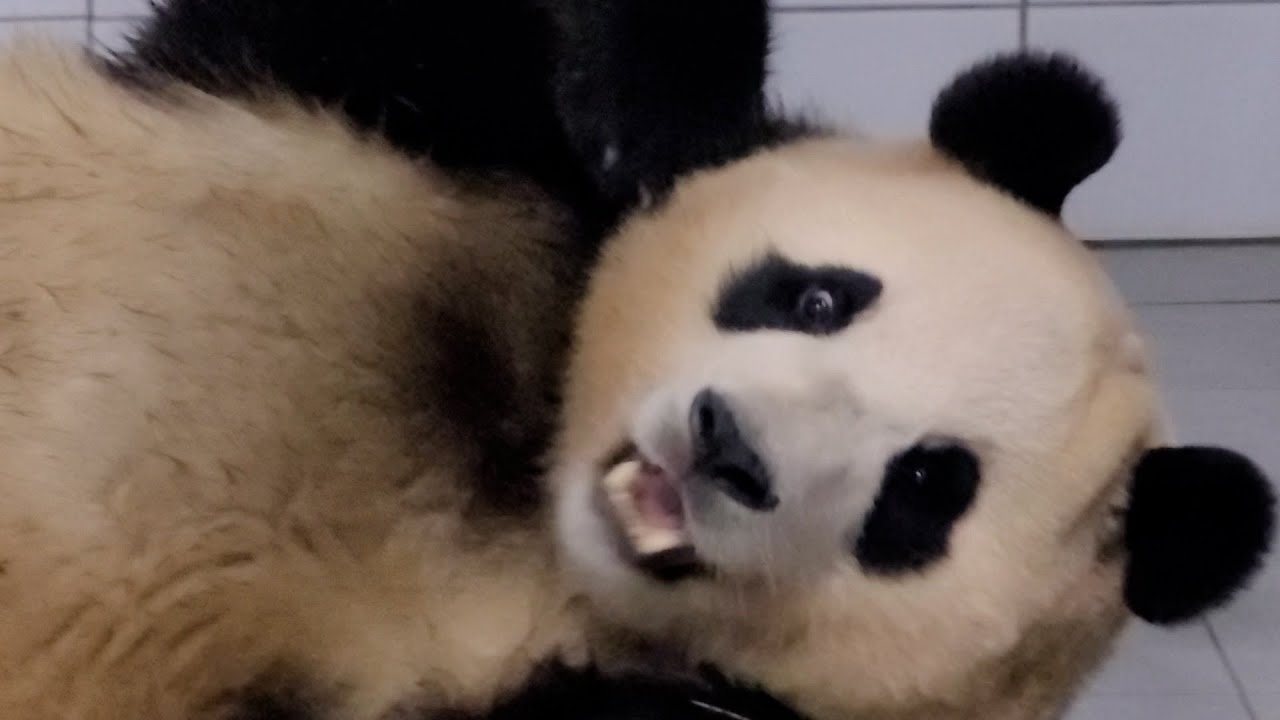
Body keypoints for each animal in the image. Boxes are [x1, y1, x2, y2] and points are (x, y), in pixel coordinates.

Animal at [0, 2, 1273, 720]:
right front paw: (657, 119)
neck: (518, 496)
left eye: (924, 488)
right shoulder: (416, 121)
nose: (727, 447)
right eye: (817, 296)